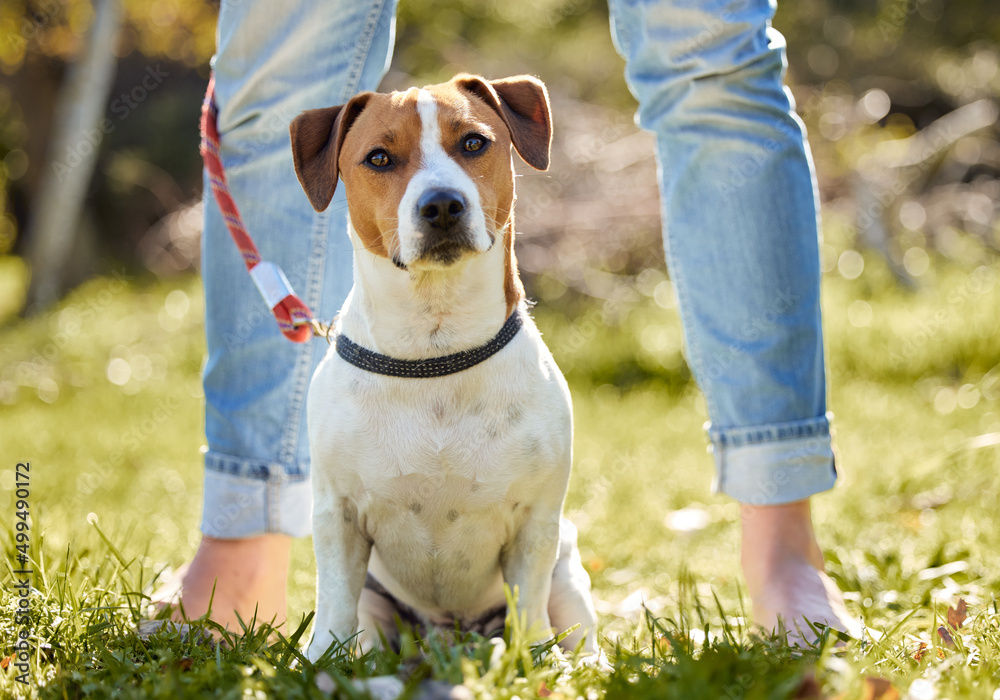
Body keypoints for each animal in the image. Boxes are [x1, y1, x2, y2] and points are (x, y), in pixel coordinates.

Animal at [292, 75, 600, 660]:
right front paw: (319, 661)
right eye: (379, 157)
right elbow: (334, 604)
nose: (441, 205)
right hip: (379, 602)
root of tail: (450, 635)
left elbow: (530, 603)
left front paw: (535, 663)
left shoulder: (535, 524)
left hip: (569, 572)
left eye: (474, 143)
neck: (434, 353)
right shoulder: (337, 516)